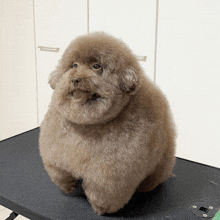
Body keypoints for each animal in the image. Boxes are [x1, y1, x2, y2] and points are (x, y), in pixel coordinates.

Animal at [39, 32, 176, 215]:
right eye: (74, 65)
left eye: (96, 66)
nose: (75, 79)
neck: (86, 125)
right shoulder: (56, 153)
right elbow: (59, 172)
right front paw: (69, 186)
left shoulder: (111, 173)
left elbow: (104, 190)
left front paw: (101, 208)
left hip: (162, 160)